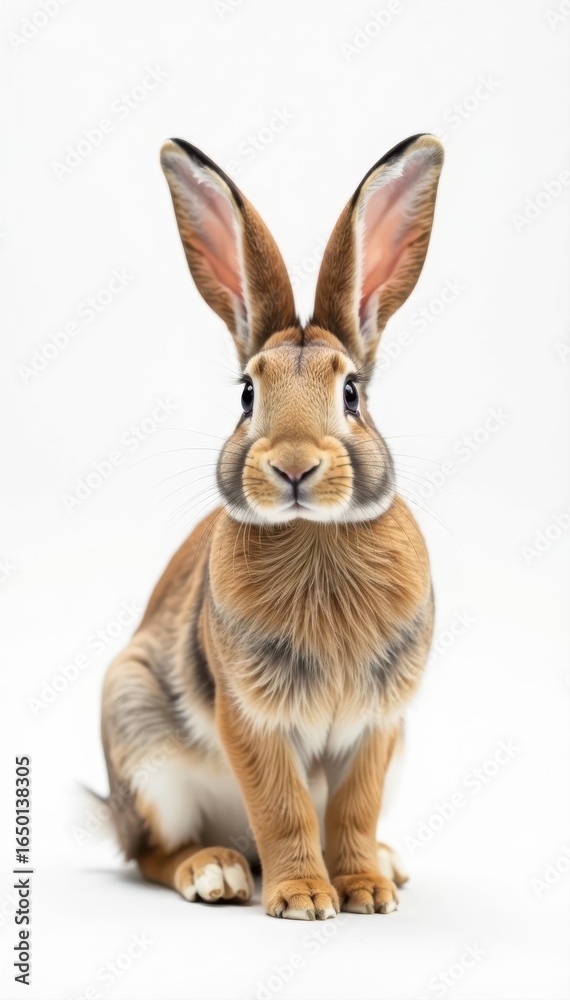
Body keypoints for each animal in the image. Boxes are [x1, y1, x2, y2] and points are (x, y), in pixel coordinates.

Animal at [101, 133, 444, 920]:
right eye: (247, 395)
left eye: (351, 393)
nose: (293, 465)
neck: (316, 534)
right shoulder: (251, 718)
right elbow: (282, 807)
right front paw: (304, 901)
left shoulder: (378, 726)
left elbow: (352, 811)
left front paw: (366, 892)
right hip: (142, 742)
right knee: (150, 854)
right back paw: (215, 872)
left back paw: (387, 862)